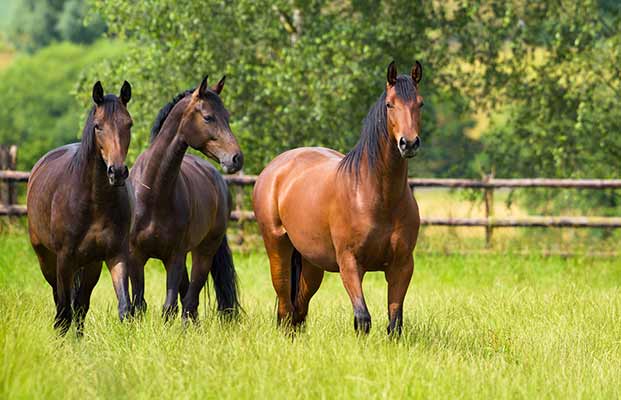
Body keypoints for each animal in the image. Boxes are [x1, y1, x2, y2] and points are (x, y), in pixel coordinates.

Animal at [27, 80, 134, 334]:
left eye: (129, 124)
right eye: (98, 126)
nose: (117, 172)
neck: (94, 202)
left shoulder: (115, 255)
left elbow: (124, 307)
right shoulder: (64, 260)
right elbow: (64, 311)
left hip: (91, 265)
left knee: (80, 306)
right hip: (47, 260)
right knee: (61, 304)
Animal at [128, 75, 242, 322]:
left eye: (227, 117)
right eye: (208, 117)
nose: (236, 158)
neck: (153, 193)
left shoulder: (175, 257)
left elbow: (169, 307)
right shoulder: (135, 256)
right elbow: (138, 305)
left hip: (203, 253)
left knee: (191, 300)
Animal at [252, 61, 422, 334]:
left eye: (421, 103)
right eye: (389, 104)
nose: (409, 143)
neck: (377, 197)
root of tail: (275, 168)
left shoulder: (402, 265)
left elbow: (394, 323)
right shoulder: (350, 263)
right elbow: (363, 319)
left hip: (311, 264)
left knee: (299, 308)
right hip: (277, 248)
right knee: (285, 306)